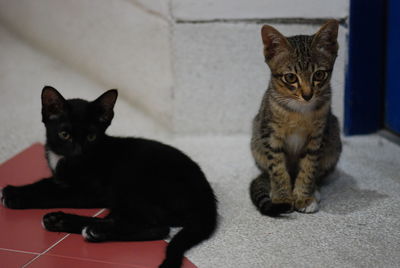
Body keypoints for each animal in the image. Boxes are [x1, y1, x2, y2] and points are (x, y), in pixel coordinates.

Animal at [1, 86, 217, 268]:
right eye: (64, 134)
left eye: (91, 137)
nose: (78, 153)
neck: (63, 160)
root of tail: (207, 197)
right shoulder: (60, 177)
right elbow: (45, 184)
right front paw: (15, 190)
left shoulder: (91, 191)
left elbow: (52, 193)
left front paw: (16, 197)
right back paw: (62, 221)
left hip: (134, 187)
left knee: (158, 227)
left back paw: (91, 230)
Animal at [250, 19, 340, 216]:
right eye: (290, 77)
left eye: (319, 74)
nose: (307, 95)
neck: (299, 111)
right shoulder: (270, 134)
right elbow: (277, 168)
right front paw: (283, 198)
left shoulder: (318, 137)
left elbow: (309, 167)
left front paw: (303, 197)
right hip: (257, 142)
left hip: (333, 142)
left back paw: (315, 191)